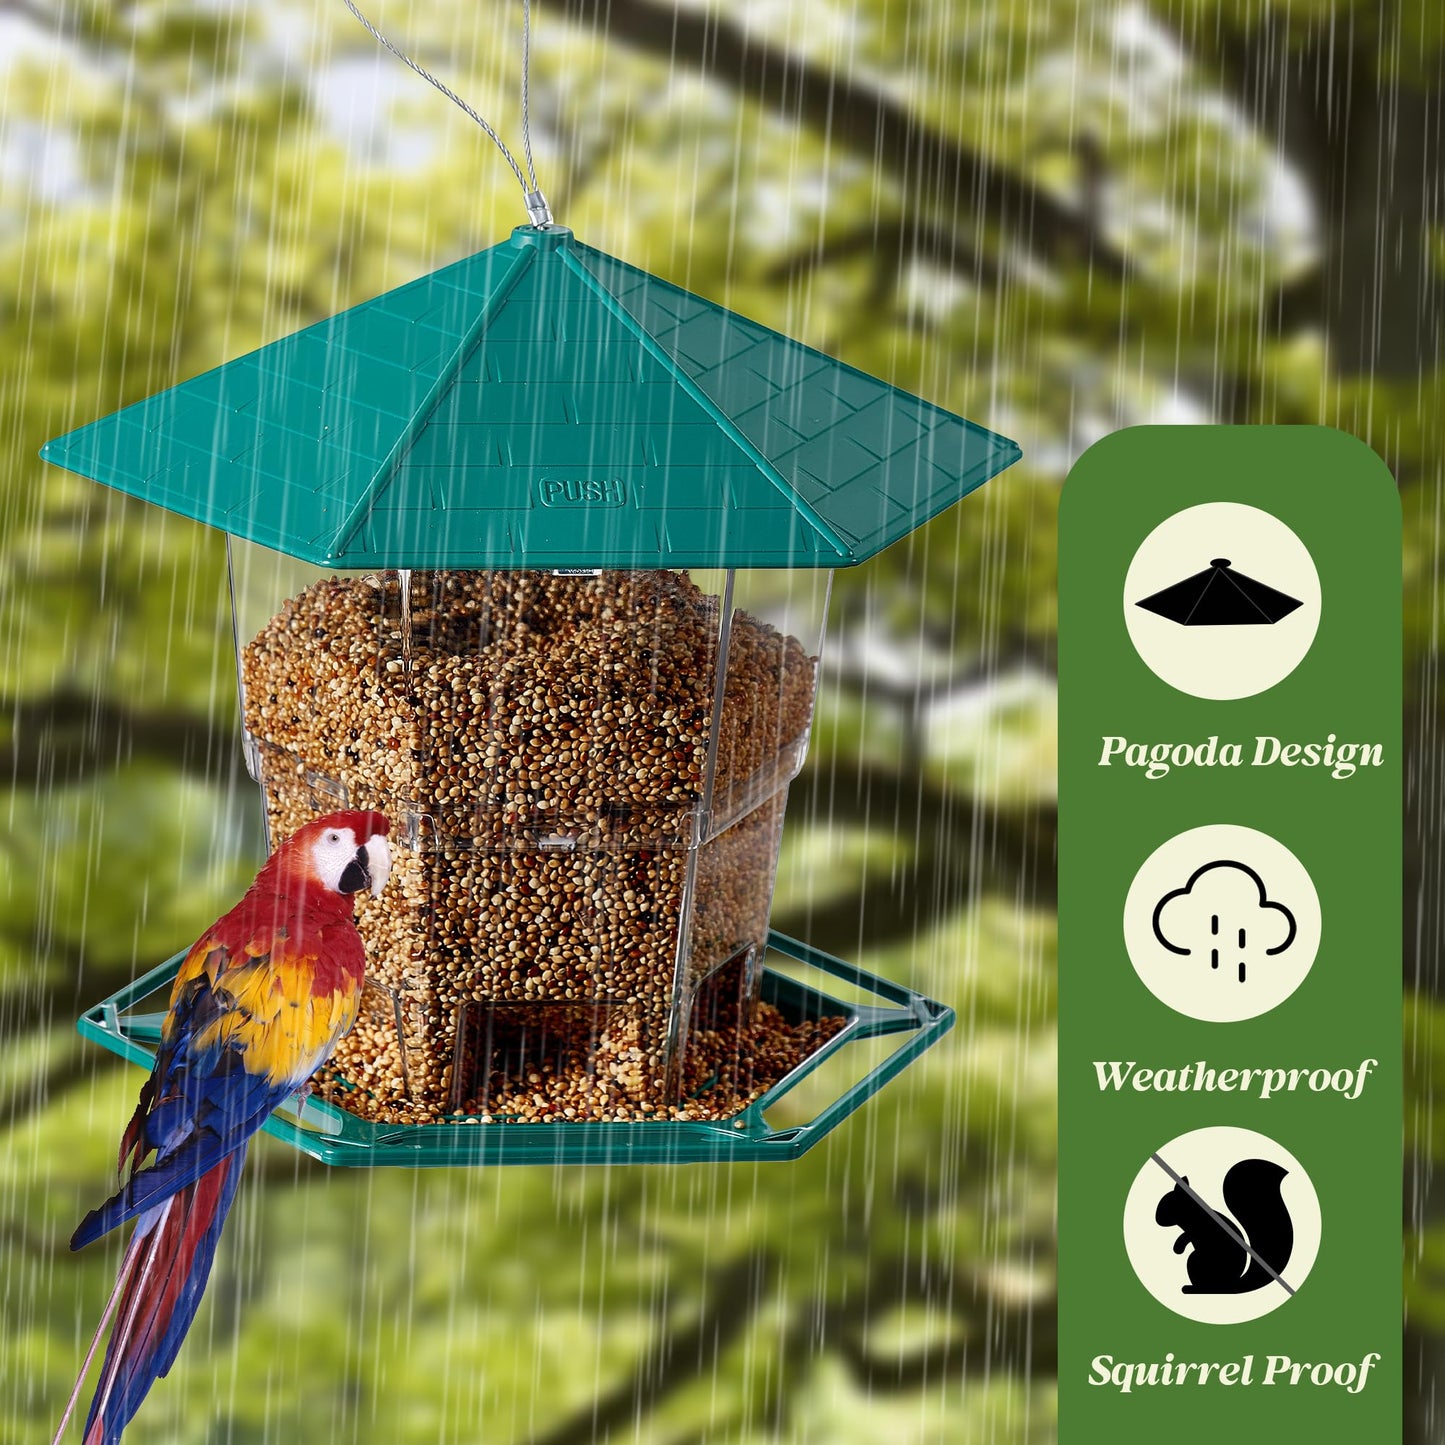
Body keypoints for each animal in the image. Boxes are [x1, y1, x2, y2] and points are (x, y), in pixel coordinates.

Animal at [1154, 1158, 1293, 1295]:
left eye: (1167, 1204)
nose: (1157, 1219)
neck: (1192, 1213)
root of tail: (1231, 1284)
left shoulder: (1200, 1229)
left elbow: (1186, 1236)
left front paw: (1178, 1248)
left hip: (1195, 1261)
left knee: (1209, 1288)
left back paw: (1191, 1289)